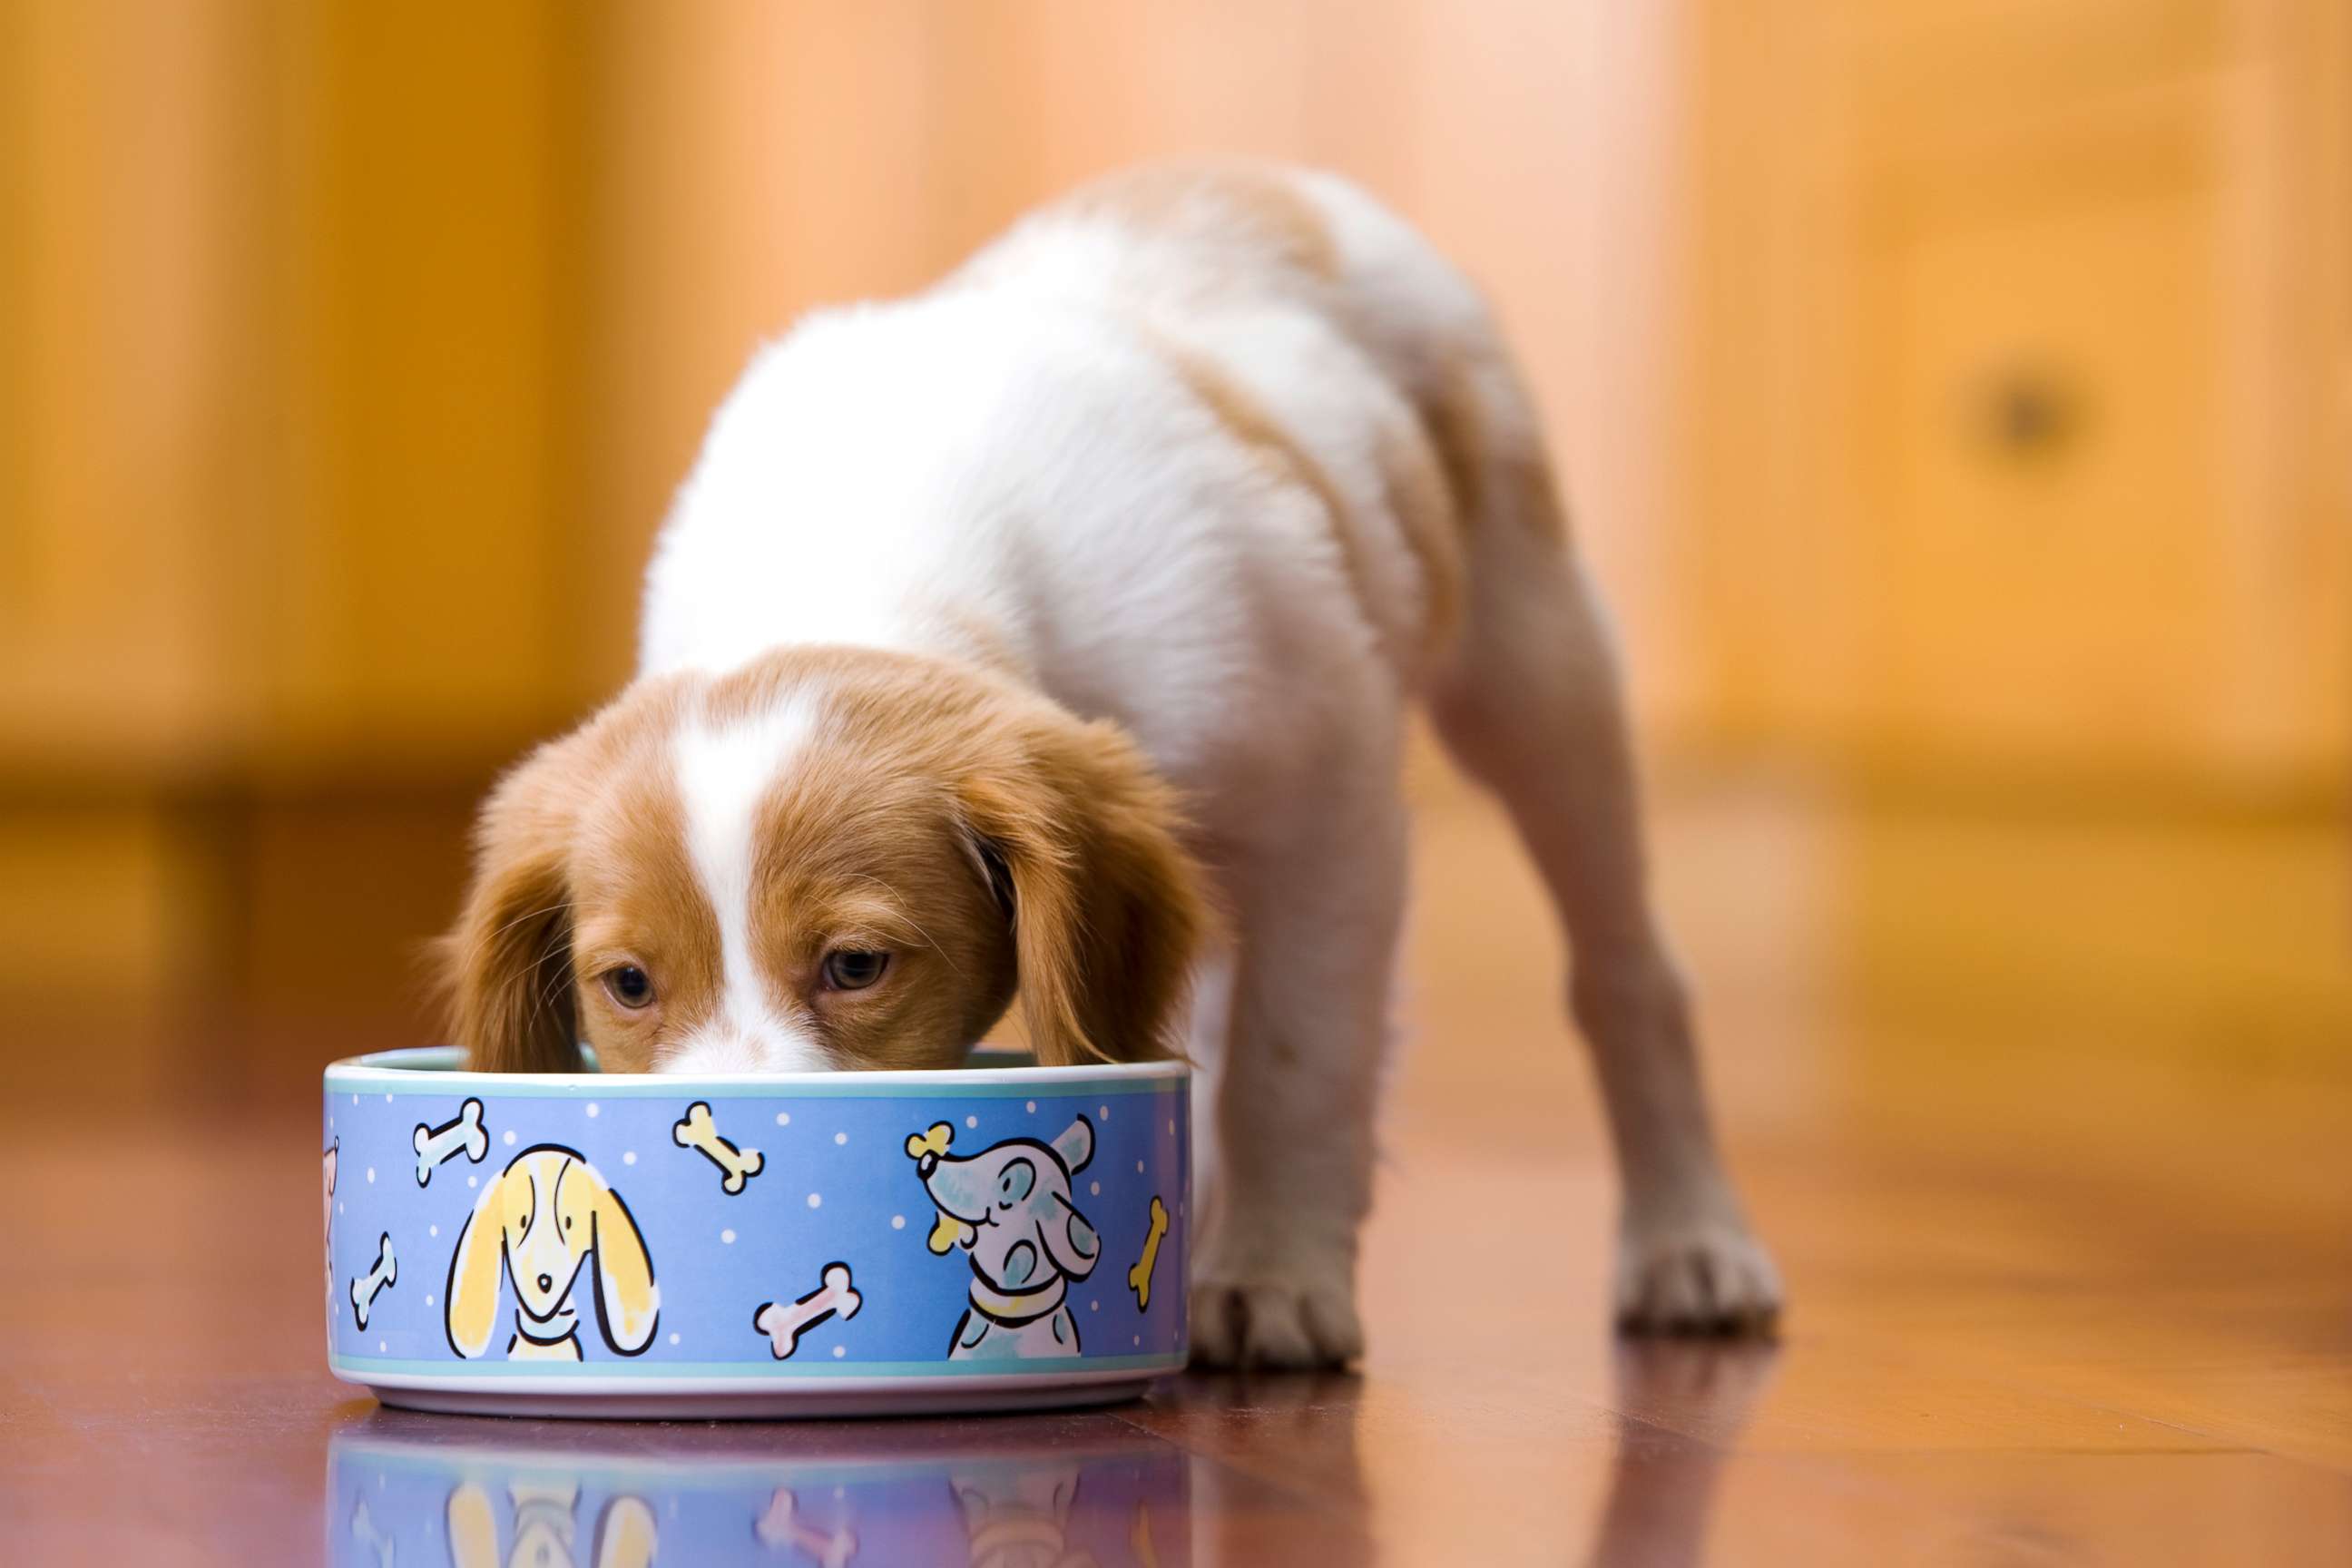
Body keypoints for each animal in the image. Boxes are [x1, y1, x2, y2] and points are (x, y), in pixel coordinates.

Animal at [442, 156, 1778, 1363]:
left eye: (857, 964)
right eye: (626, 985)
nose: (734, 1147)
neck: (861, 556)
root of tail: (1262, 175)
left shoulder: (1329, 808)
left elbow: (1297, 1060)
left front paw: (1278, 1275)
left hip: (1535, 662)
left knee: (1624, 971)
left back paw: (1689, 1241)